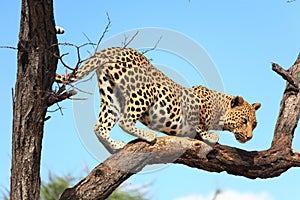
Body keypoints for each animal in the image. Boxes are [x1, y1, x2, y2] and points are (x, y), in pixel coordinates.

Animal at [55, 46, 262, 153]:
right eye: (244, 121)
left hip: (110, 93)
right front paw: (209, 135)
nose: (250, 137)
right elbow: (200, 125)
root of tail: (119, 48)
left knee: (100, 126)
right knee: (124, 120)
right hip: (144, 92)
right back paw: (147, 135)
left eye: (254, 125)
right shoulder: (194, 104)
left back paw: (114, 147)